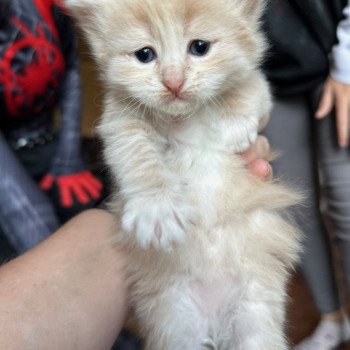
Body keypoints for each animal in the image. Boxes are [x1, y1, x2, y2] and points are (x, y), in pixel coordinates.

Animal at [64, 1, 300, 348]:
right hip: (175, 322)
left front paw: (234, 126)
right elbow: (136, 153)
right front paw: (156, 210)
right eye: (144, 54)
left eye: (199, 47)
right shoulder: (118, 121)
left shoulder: (258, 88)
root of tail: (215, 319)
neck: (184, 117)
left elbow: (252, 86)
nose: (173, 82)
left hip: (255, 312)